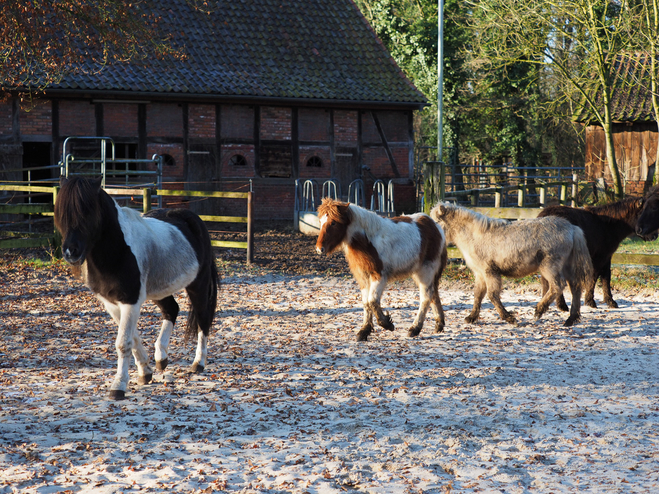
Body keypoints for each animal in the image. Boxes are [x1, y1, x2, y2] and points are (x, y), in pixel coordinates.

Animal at [54, 178, 219, 402]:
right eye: (61, 214)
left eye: (87, 211)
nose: (71, 252)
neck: (118, 251)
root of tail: (193, 219)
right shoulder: (111, 303)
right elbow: (132, 338)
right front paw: (145, 372)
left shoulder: (130, 301)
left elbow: (124, 343)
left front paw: (118, 386)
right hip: (159, 291)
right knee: (172, 310)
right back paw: (161, 358)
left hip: (197, 285)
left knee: (203, 319)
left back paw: (198, 363)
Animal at [316, 196, 448, 340]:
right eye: (320, 221)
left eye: (334, 223)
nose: (319, 249)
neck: (367, 240)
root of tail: (435, 226)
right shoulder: (363, 277)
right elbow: (366, 303)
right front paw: (364, 331)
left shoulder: (379, 276)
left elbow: (372, 301)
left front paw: (387, 324)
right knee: (434, 293)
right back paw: (439, 324)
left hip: (426, 271)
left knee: (426, 296)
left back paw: (415, 328)